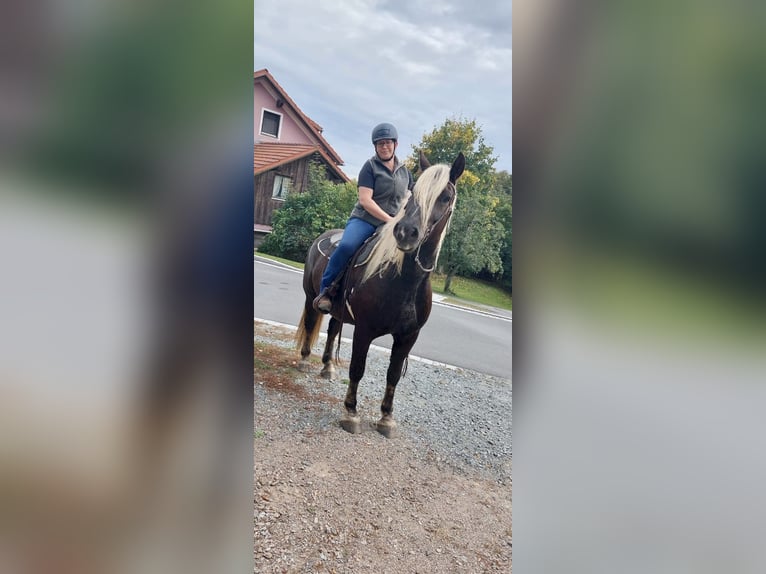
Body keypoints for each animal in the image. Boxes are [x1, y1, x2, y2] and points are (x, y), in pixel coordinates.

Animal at [295, 151, 465, 437]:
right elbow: (357, 368)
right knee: (310, 324)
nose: (406, 232)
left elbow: (393, 374)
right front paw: (351, 413)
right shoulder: (365, 330)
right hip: (310, 298)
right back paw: (305, 360)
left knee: (332, 330)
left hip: (338, 311)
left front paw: (386, 417)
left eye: (445, 197)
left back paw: (328, 366)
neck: (404, 281)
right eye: (414, 193)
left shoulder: (408, 337)